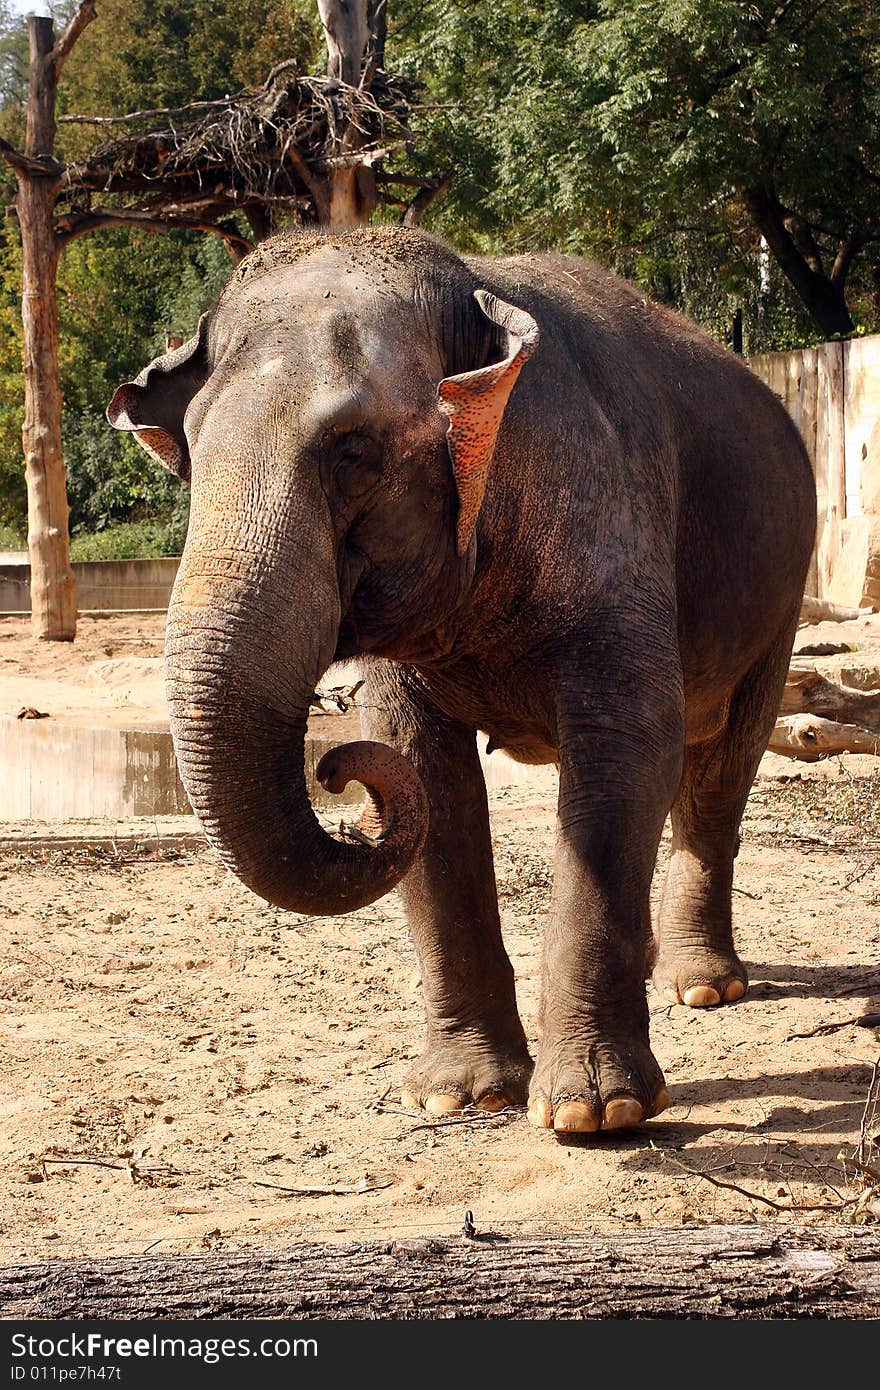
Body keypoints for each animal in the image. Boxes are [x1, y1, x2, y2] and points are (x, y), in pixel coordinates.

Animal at [109, 227, 817, 1134]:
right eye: (192, 455)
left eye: (355, 452)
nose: (333, 767)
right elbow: (425, 770)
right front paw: (461, 1095)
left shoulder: (608, 519)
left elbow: (625, 753)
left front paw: (594, 1115)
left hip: (782, 591)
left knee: (722, 766)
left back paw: (703, 988)